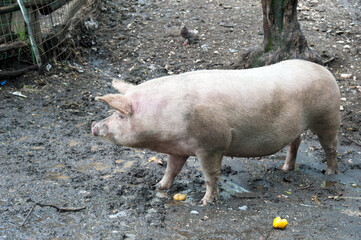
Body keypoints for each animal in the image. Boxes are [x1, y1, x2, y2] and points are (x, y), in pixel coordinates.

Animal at [91, 59, 338, 204]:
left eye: (121, 115)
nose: (93, 126)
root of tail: (325, 70)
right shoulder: (178, 148)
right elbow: (172, 169)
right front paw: (157, 187)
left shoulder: (212, 144)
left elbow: (210, 175)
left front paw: (206, 202)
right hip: (299, 126)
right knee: (296, 142)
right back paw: (285, 169)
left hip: (328, 117)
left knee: (330, 147)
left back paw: (329, 173)